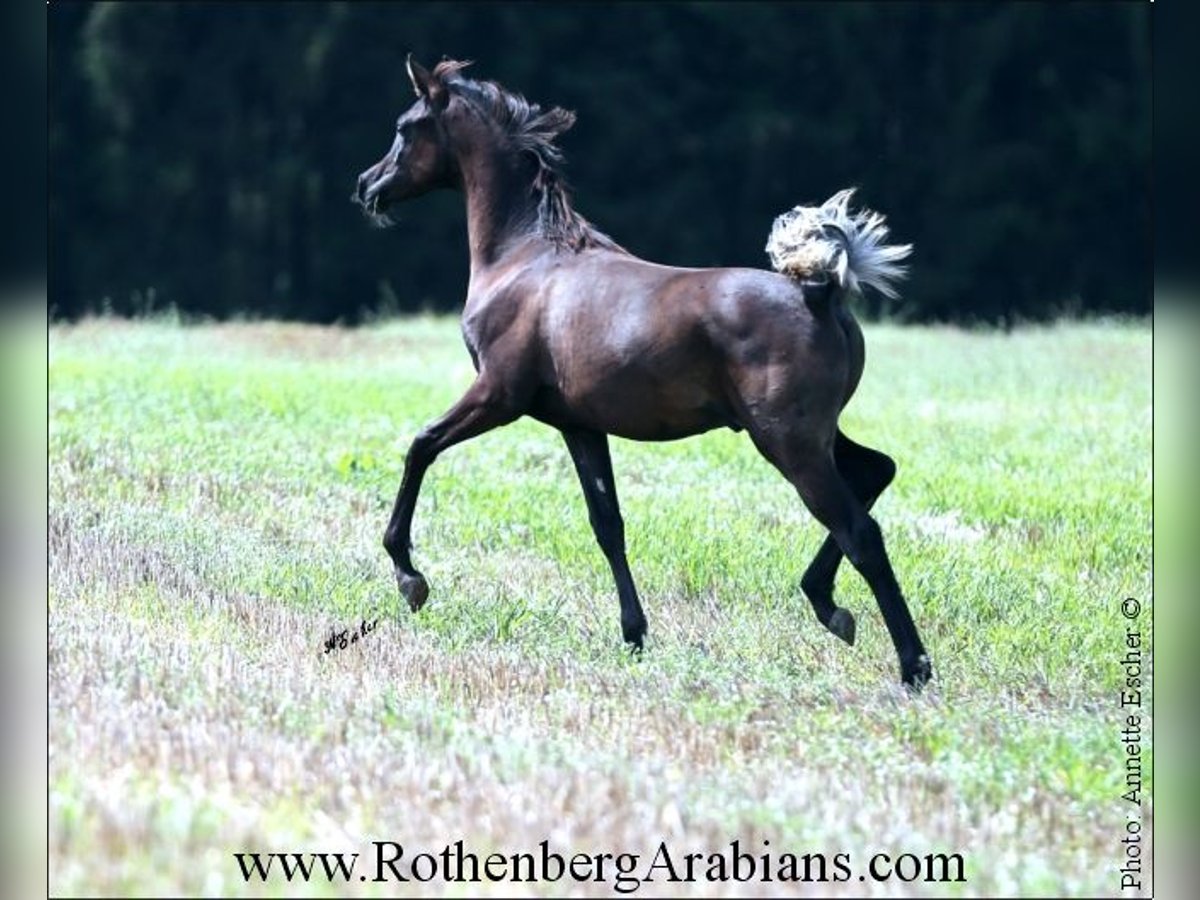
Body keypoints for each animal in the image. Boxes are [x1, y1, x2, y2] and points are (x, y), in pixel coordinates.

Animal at [350, 56, 931, 691]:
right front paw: (634, 634)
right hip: (812, 435)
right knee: (877, 470)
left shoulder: (498, 395)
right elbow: (608, 523)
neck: (525, 259)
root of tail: (822, 292)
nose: (366, 186)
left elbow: (420, 445)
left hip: (787, 440)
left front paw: (410, 578)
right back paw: (828, 605)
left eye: (405, 128)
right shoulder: (578, 425)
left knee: (861, 531)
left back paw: (912, 665)